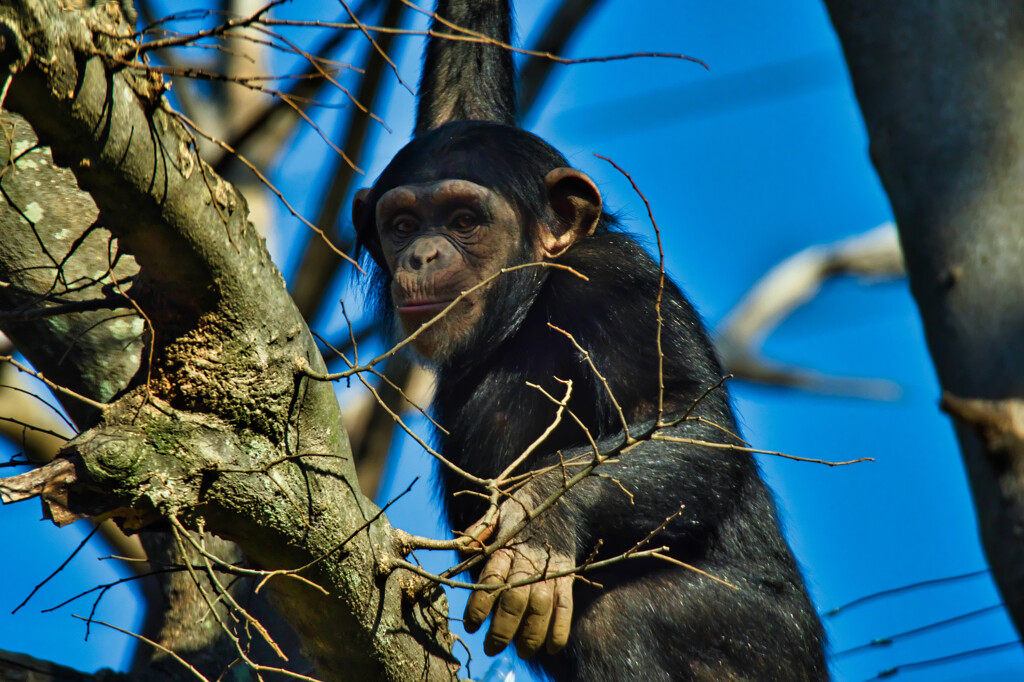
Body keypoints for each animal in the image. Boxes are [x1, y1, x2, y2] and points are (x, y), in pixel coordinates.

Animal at [350, 2, 823, 675]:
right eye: (403, 223)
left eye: (464, 220)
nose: (421, 253)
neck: (530, 305)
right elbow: (463, 91)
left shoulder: (615, 286)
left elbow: (687, 420)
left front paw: (539, 523)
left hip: (769, 647)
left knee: (619, 620)